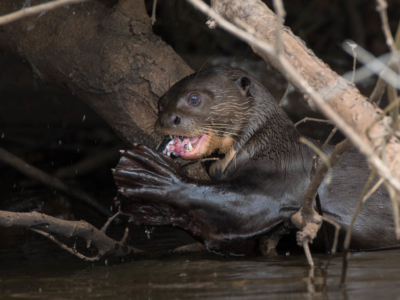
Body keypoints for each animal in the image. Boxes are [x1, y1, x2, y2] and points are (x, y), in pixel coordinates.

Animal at [112, 67, 396, 255]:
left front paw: (150, 175)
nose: (168, 119)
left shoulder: (284, 178)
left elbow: (241, 208)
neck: (270, 147)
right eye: (160, 105)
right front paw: (144, 204)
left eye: (193, 98)